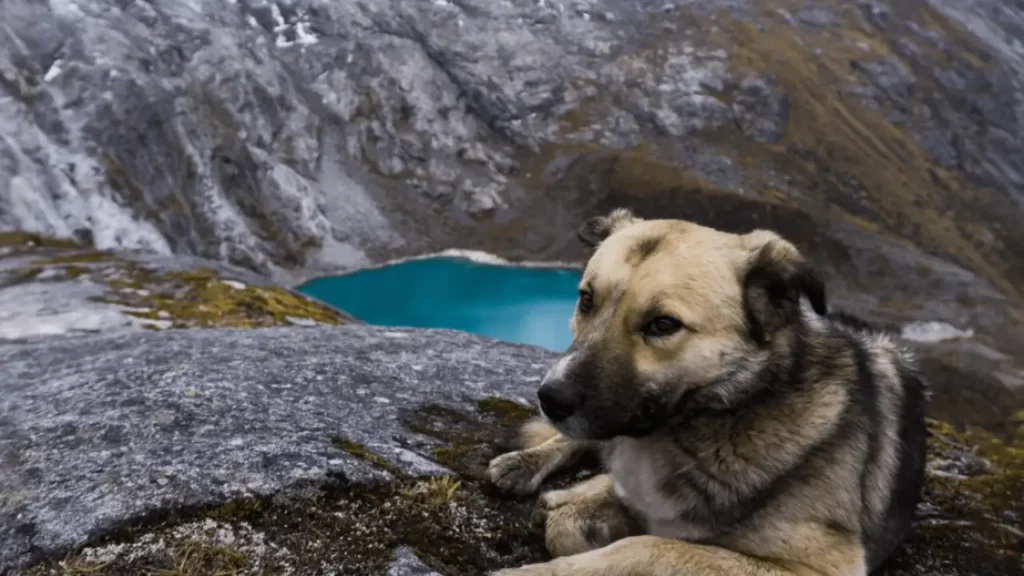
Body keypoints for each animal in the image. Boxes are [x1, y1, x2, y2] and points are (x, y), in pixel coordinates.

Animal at [487, 208, 929, 569]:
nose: (550, 399)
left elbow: (647, 546)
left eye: (663, 324)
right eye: (586, 300)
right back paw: (524, 464)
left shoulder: (822, 565)